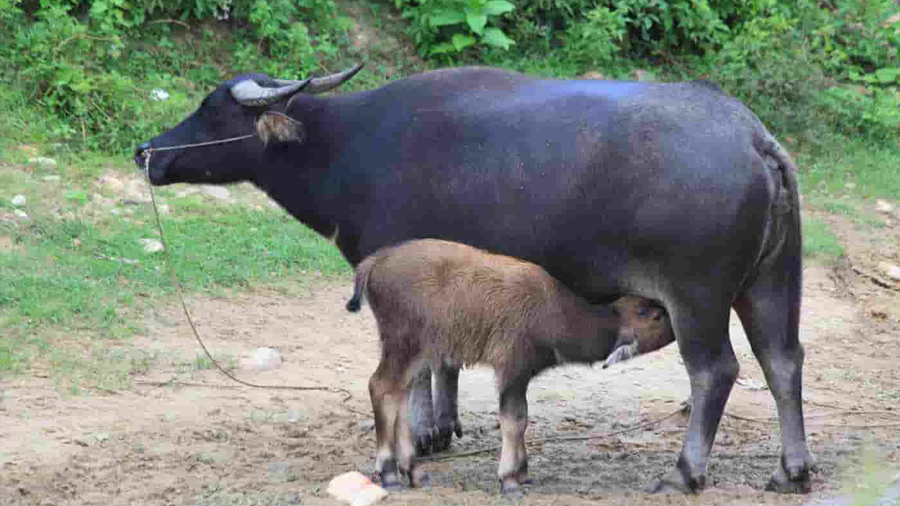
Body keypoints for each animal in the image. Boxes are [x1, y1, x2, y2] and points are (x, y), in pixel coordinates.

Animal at [135, 64, 816, 494]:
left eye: (211, 111)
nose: (147, 152)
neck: (345, 147)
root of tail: (755, 139)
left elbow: (415, 371)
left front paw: (415, 438)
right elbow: (446, 361)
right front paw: (441, 428)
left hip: (697, 296)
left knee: (716, 371)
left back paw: (684, 472)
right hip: (772, 282)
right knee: (783, 361)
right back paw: (791, 471)